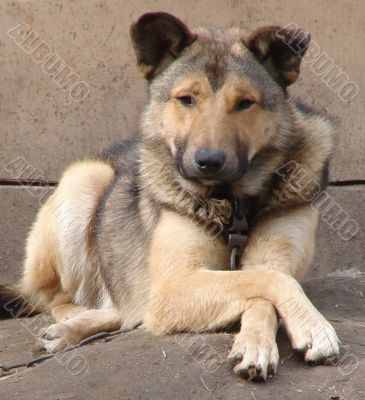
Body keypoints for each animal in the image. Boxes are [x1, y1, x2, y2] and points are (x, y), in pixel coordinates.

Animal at [0, 12, 338, 382]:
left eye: (245, 103)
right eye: (186, 99)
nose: (209, 161)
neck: (230, 204)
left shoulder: (275, 257)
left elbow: (265, 288)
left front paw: (259, 343)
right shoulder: (173, 285)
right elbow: (266, 280)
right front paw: (313, 326)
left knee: (123, 308)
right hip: (84, 180)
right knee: (63, 300)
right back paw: (68, 327)